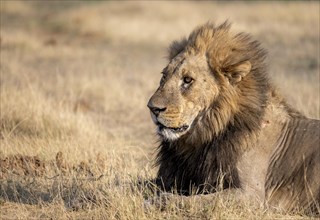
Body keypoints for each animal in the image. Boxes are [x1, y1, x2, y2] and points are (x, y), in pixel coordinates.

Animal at [148, 21, 320, 213]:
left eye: (187, 80)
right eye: (164, 76)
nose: (152, 108)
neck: (203, 137)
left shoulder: (252, 195)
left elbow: (199, 199)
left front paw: (159, 200)